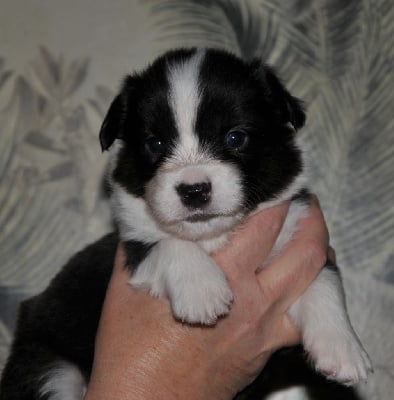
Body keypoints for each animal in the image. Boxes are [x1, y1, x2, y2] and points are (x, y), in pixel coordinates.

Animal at [0, 48, 370, 398]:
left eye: (235, 137)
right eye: (155, 143)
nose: (193, 190)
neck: (212, 239)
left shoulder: (297, 232)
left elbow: (324, 278)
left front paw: (344, 347)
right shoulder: (133, 249)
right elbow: (167, 243)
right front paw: (202, 290)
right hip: (49, 368)